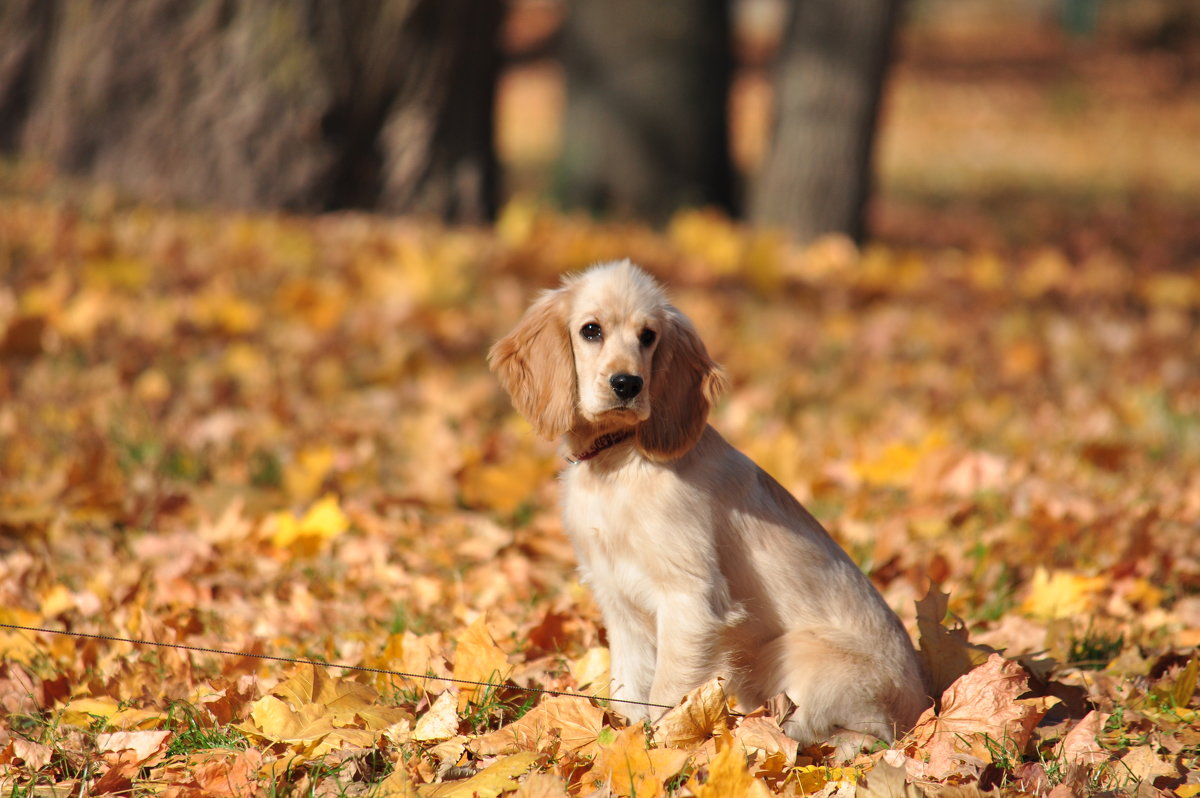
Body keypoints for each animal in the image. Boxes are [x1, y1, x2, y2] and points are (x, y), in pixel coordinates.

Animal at [487, 260, 926, 753]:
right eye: (590, 330)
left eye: (648, 336)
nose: (627, 384)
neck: (618, 461)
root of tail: (922, 709)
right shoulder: (618, 601)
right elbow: (628, 688)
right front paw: (622, 738)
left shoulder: (691, 599)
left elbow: (666, 693)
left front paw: (663, 748)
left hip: (797, 656)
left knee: (863, 739)